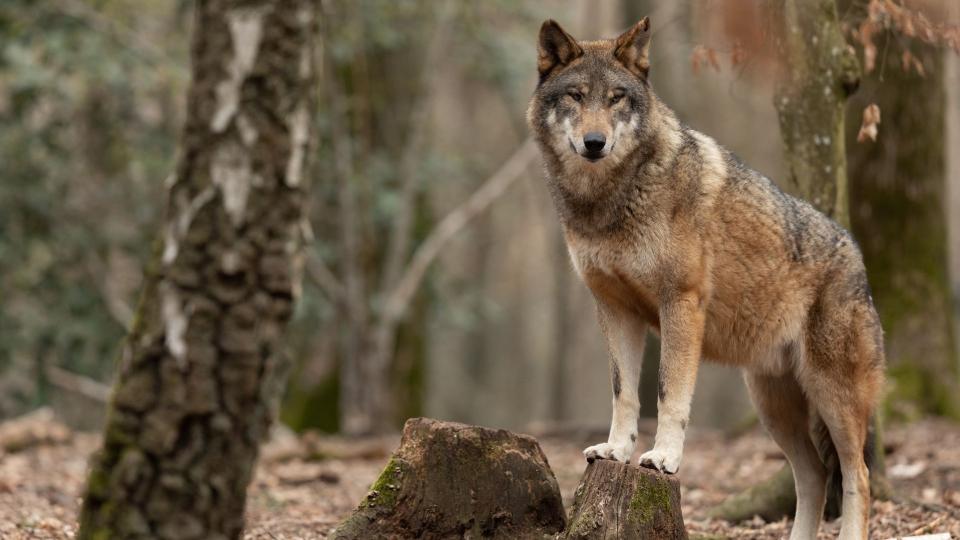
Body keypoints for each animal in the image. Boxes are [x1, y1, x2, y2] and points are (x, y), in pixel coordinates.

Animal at [527, 17, 885, 540]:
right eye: (575, 96)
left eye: (615, 98)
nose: (595, 142)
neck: (610, 200)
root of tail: (857, 254)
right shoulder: (614, 309)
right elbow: (624, 393)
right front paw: (616, 451)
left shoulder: (680, 303)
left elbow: (668, 393)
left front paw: (662, 458)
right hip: (772, 406)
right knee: (815, 474)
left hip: (832, 398)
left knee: (857, 473)